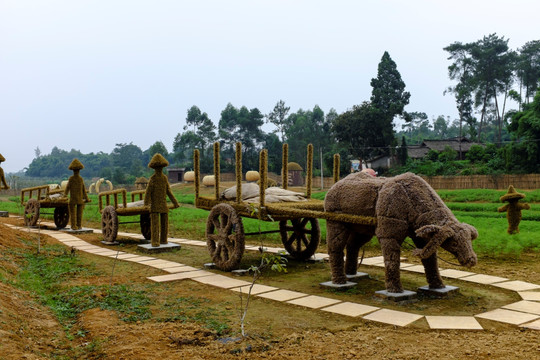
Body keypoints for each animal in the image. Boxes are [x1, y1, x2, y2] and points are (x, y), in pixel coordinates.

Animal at [324, 172, 476, 292]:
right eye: (454, 243)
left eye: (469, 240)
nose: (471, 260)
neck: (411, 200)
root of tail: (332, 188)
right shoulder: (389, 234)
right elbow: (392, 261)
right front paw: (395, 289)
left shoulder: (421, 237)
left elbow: (430, 260)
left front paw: (438, 286)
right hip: (336, 223)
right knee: (335, 247)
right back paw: (340, 280)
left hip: (361, 229)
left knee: (352, 246)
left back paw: (351, 273)